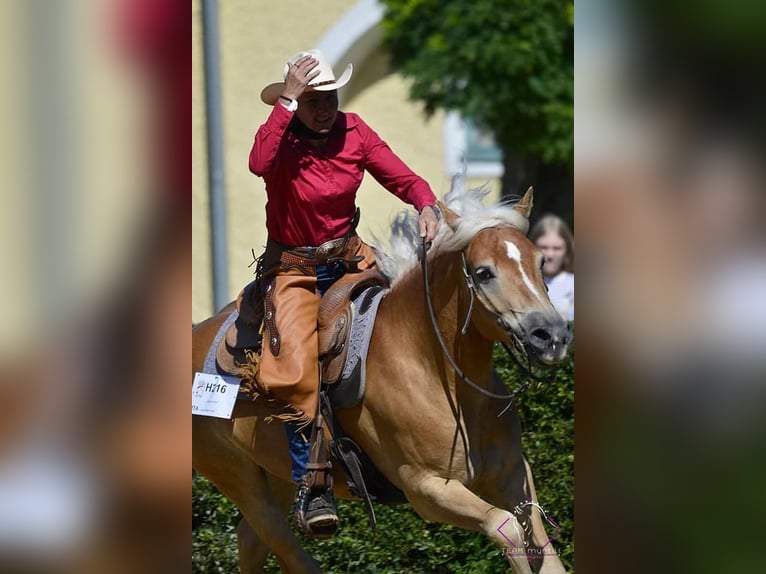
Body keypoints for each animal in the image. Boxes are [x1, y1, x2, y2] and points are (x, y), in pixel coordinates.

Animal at [195, 187, 572, 572]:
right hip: (239, 479)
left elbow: (542, 547)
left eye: (541, 262)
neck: (435, 371)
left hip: (276, 474)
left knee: (252, 541)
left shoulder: (513, 476)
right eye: (483, 273)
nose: (552, 335)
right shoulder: (427, 488)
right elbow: (505, 526)